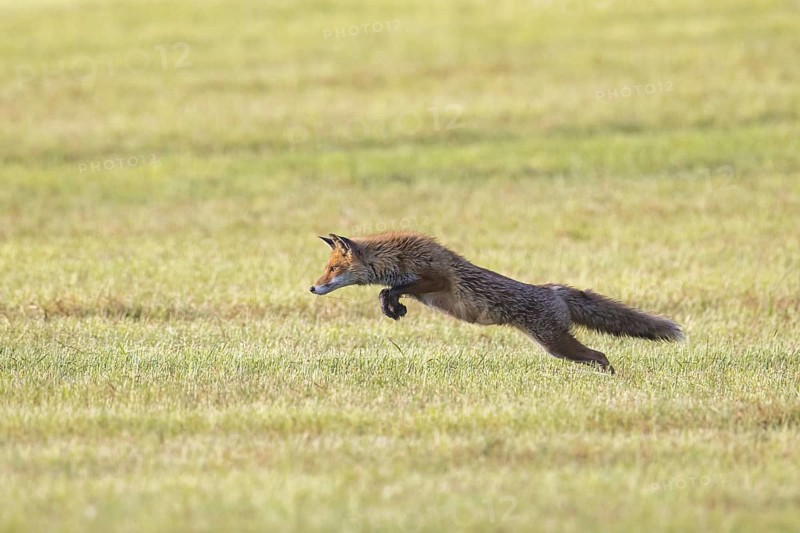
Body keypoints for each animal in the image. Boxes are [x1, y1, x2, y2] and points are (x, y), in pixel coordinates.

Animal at [310, 232, 684, 374]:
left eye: (333, 269)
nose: (313, 287)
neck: (395, 257)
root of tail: (552, 289)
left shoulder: (436, 277)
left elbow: (395, 287)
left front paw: (392, 303)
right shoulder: (419, 286)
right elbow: (389, 291)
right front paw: (392, 307)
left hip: (556, 345)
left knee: (601, 355)